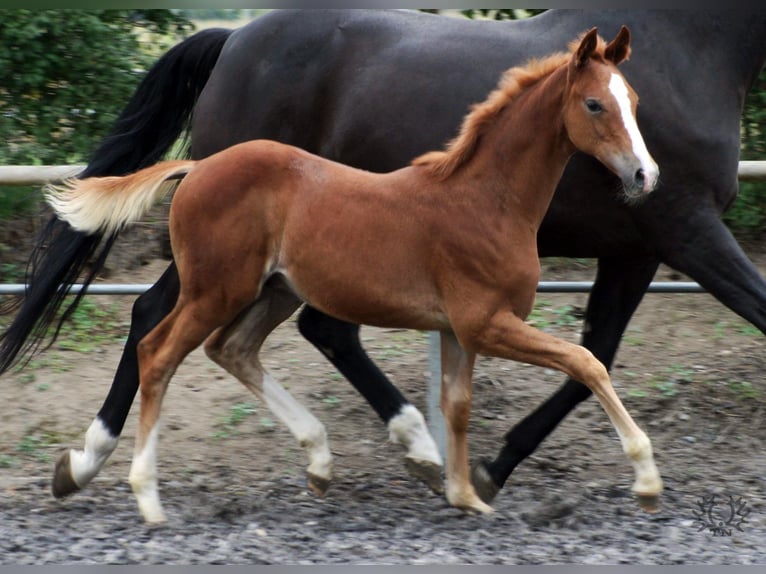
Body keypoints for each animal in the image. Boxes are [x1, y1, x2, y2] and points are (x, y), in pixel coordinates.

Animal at [0, 9, 764, 504]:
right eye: (596, 106)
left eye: (634, 99)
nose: (643, 175)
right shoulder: (677, 234)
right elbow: (591, 359)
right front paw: (637, 473)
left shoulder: (618, 259)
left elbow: (535, 376)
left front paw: (474, 481)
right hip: (224, 280)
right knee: (158, 333)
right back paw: (110, 473)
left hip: (274, 284)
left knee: (254, 342)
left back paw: (340, 454)